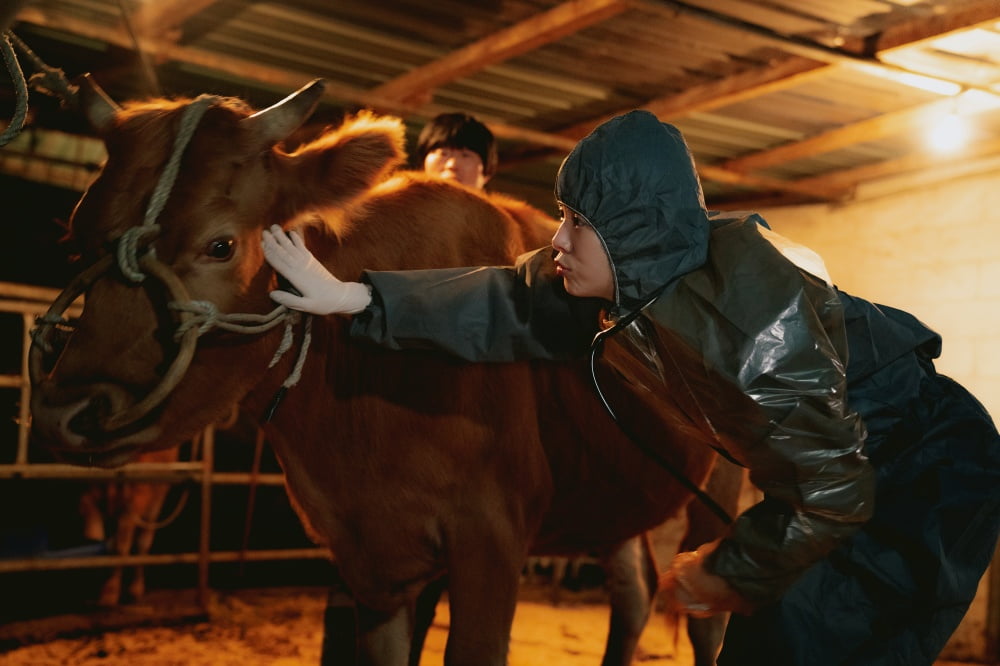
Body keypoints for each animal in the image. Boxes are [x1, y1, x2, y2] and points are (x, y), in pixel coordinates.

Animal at [31, 79, 732, 664]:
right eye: (77, 233)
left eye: (221, 244)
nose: (67, 410)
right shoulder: (369, 559)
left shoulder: (493, 539)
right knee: (633, 593)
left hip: (718, 496)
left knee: (705, 620)